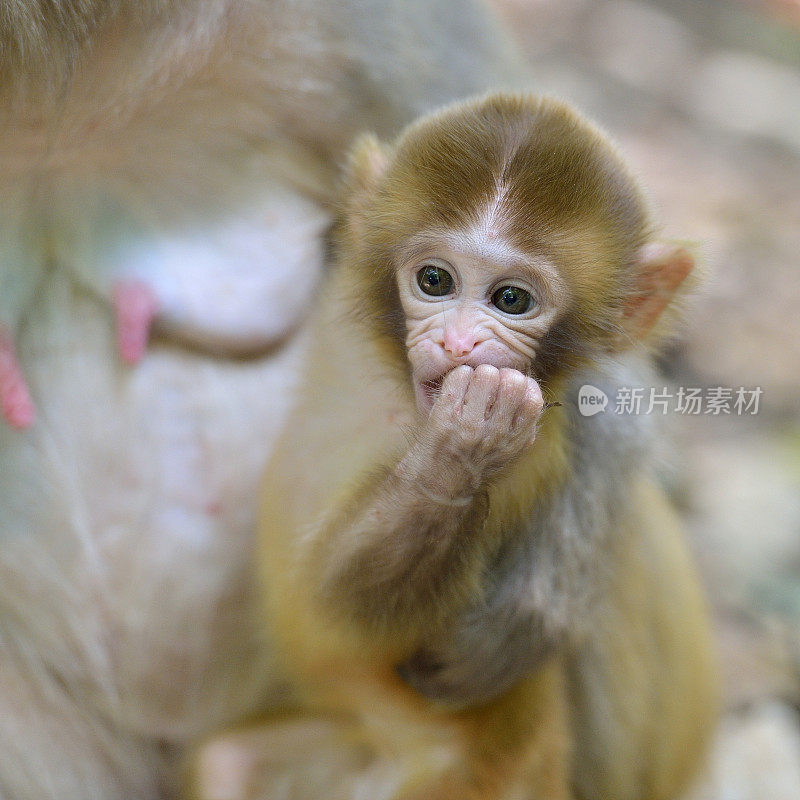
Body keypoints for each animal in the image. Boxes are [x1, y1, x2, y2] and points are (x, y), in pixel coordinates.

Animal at [248, 95, 712, 800]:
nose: (460, 342)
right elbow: (329, 611)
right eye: (435, 280)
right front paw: (459, 453)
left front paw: (536, 600)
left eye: (511, 299)